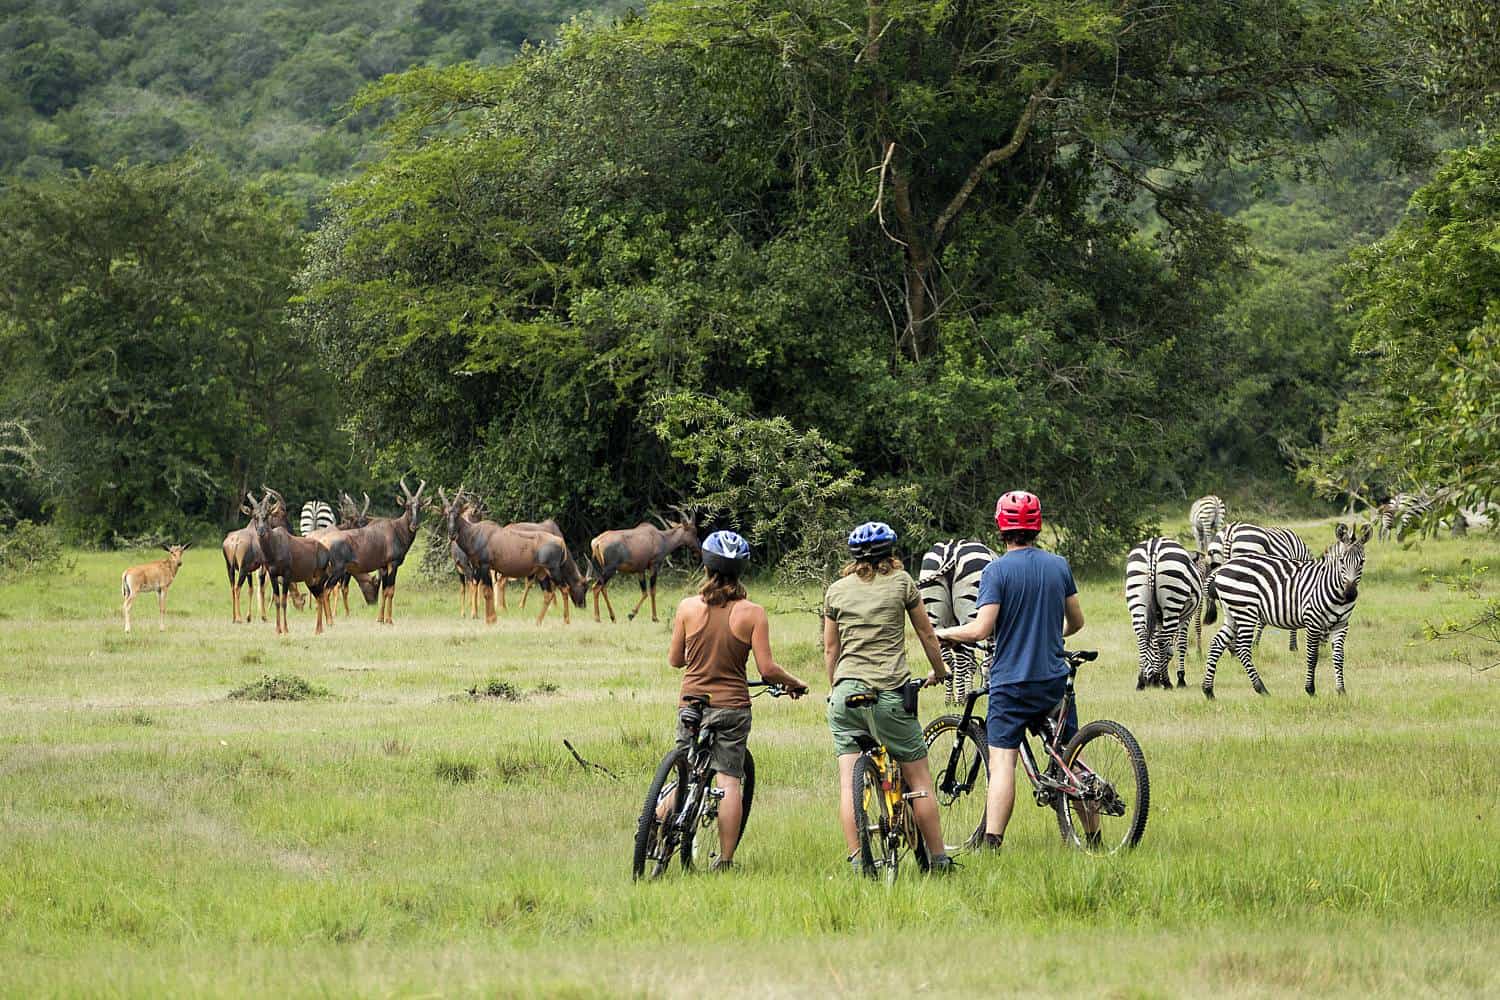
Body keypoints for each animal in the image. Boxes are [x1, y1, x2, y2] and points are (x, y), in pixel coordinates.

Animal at [438, 485, 588, 626]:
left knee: (564, 588)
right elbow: (486, 590)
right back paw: (538, 621)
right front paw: (491, 619)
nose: (452, 535)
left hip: (553, 570)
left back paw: (566, 621)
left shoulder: (485, 566)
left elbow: (487, 592)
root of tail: (560, 541)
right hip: (541, 572)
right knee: (549, 593)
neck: (476, 533)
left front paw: (491, 620)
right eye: (446, 514)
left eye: (458, 514)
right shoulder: (478, 568)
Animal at [912, 539, 996, 704]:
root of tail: (952, 549)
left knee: (948, 656)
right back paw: (960, 700)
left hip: (935, 617)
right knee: (963, 658)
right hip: (969, 613)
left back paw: (949, 699)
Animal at [1128, 536, 1206, 692]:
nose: (1149, 681)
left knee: (1143, 637)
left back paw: (1140, 682)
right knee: (1162, 641)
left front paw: (1155, 677)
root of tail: (1153, 545)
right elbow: (1179, 644)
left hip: (1137, 597)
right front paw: (1180, 678)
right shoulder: (1185, 617)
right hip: (1173, 600)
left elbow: (1159, 645)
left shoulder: (1159, 618)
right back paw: (1166, 681)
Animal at [1200, 521, 1368, 701]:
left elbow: (1338, 657)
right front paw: (1310, 689)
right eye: (1342, 561)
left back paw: (1208, 690)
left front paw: (1341, 691)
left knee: (1217, 643)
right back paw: (1261, 689)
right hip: (1245, 611)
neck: (1330, 585)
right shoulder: (1312, 620)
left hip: (1232, 612)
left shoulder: (1342, 624)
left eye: (1362, 562)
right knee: (1243, 649)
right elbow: (1312, 656)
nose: (1350, 594)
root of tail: (1224, 566)